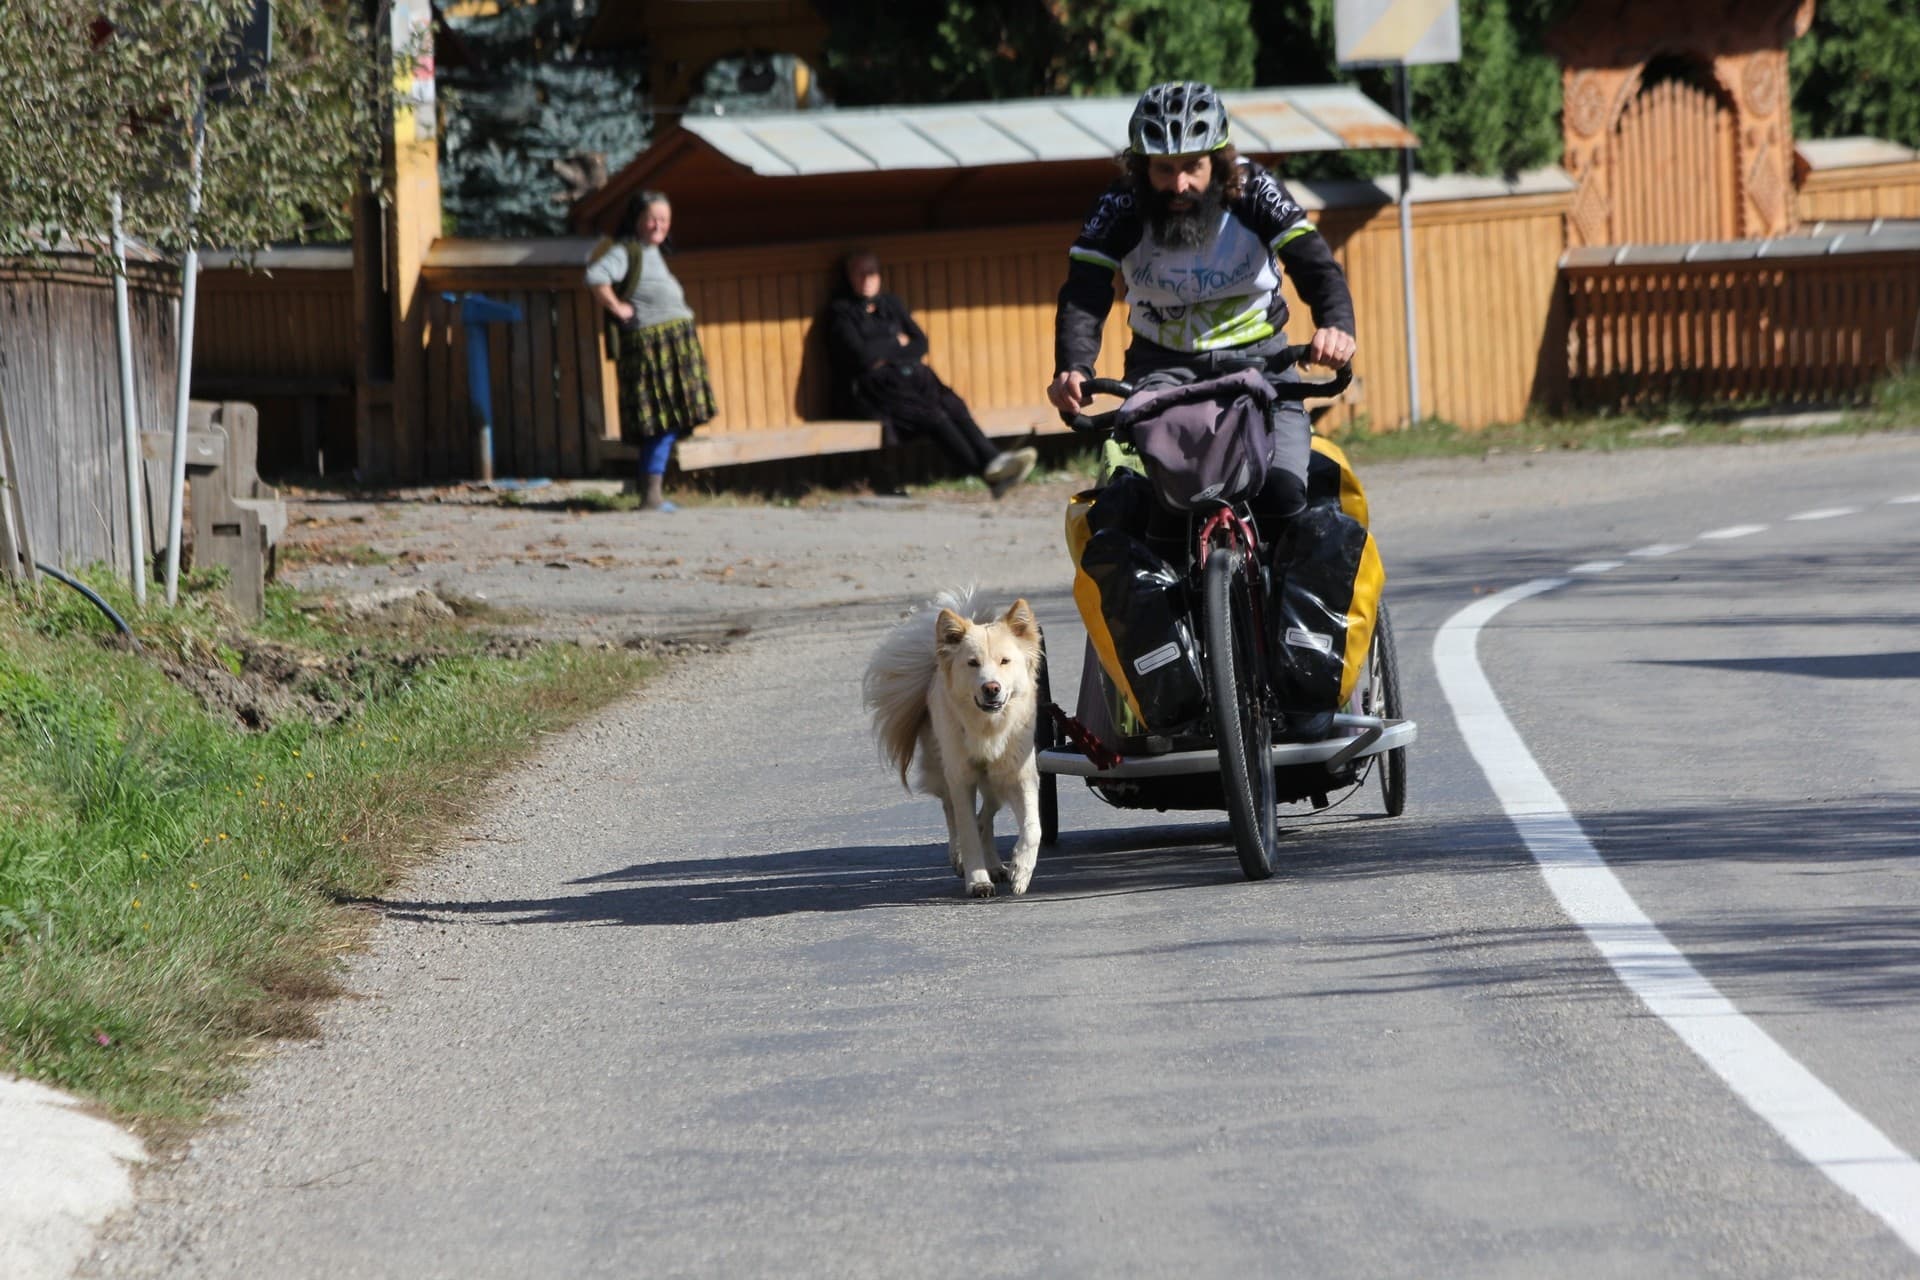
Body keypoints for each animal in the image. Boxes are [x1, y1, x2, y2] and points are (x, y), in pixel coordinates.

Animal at [871, 591, 1052, 901]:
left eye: (1005, 661)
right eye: (972, 663)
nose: (991, 688)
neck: (987, 729)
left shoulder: (1019, 775)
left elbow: (1033, 827)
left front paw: (1020, 871)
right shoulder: (961, 778)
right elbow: (966, 831)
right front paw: (977, 880)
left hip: (994, 784)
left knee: (984, 818)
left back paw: (996, 865)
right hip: (943, 769)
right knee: (954, 815)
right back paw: (960, 859)